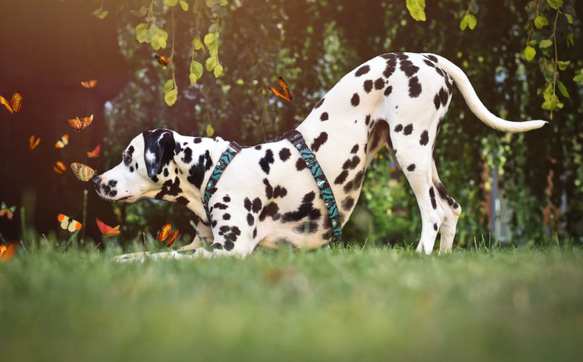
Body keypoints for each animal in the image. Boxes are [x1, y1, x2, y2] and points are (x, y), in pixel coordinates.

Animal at [93, 51, 544, 260]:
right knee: (450, 209)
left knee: (432, 212)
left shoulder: (229, 250)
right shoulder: (201, 244)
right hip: (421, 153)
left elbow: (166, 259)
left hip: (410, 151)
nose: (96, 180)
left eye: (129, 156)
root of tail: (427, 57)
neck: (213, 171)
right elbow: (149, 254)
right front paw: (120, 261)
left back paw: (419, 257)